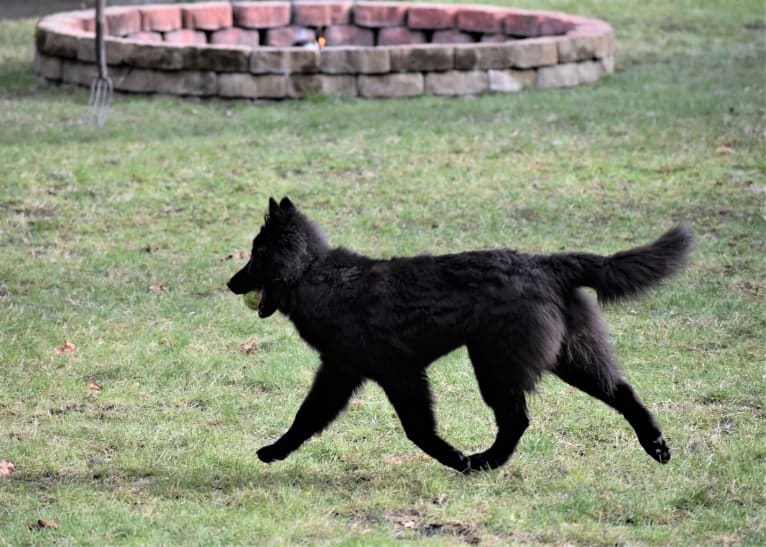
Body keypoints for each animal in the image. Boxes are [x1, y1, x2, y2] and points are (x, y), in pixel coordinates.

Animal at [230, 199, 696, 474]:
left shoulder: (400, 374)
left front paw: (452, 458)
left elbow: (417, 430)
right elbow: (306, 417)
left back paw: (483, 462)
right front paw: (276, 450)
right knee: (621, 392)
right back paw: (657, 446)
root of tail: (545, 264)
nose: (231, 283)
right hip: (569, 357)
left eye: (254, 255)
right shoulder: (339, 373)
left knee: (517, 419)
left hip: (494, 365)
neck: (312, 272)